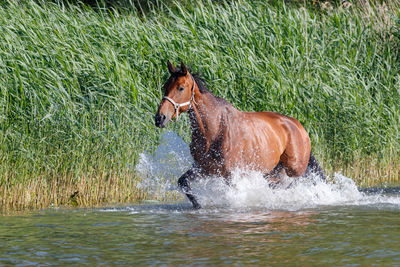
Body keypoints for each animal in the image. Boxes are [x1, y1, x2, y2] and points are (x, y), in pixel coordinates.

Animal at [154, 61, 324, 209]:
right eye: (165, 87)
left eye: (181, 88)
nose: (159, 118)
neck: (214, 130)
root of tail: (299, 127)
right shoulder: (204, 168)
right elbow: (183, 182)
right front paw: (198, 205)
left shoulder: (231, 174)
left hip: (293, 168)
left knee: (294, 182)